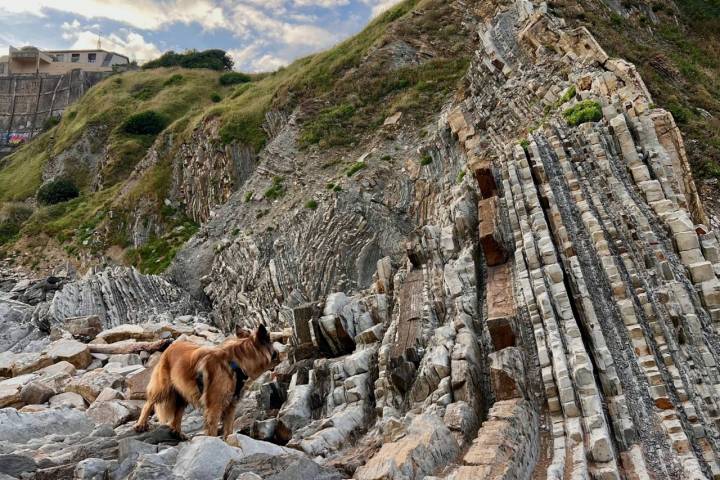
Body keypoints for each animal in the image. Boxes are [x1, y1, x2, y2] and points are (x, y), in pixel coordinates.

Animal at [134, 326, 278, 438]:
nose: (280, 354)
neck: (236, 362)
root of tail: (172, 345)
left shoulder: (231, 406)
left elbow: (228, 430)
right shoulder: (214, 407)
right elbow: (212, 430)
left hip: (183, 392)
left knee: (178, 414)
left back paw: (177, 432)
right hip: (163, 388)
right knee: (148, 404)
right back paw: (141, 424)